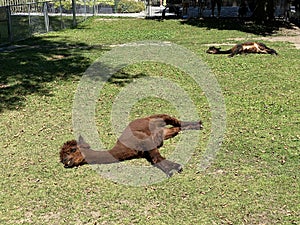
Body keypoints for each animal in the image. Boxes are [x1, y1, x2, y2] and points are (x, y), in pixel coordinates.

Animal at [59, 114, 203, 178]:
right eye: (61, 158)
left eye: (72, 150)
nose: (65, 162)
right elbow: (156, 158)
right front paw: (172, 169)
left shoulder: (145, 141)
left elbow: (157, 158)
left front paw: (175, 168)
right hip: (165, 132)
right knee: (177, 128)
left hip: (159, 118)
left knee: (175, 120)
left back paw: (199, 123)